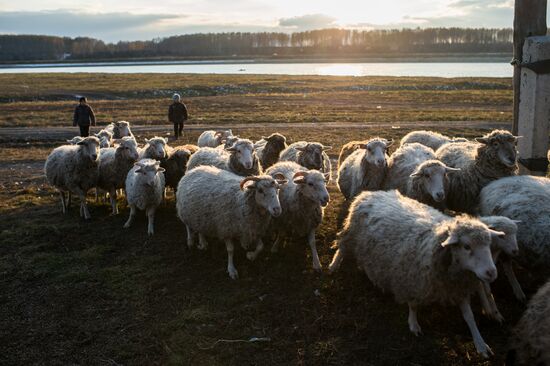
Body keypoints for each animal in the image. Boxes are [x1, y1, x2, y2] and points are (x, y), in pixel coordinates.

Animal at [330, 190, 506, 356]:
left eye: (489, 244)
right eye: (466, 246)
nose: (491, 273)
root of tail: (371, 193)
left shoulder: (456, 286)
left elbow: (469, 317)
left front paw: (480, 344)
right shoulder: (412, 280)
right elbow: (413, 305)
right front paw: (413, 324)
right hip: (350, 233)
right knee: (341, 247)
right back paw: (334, 265)